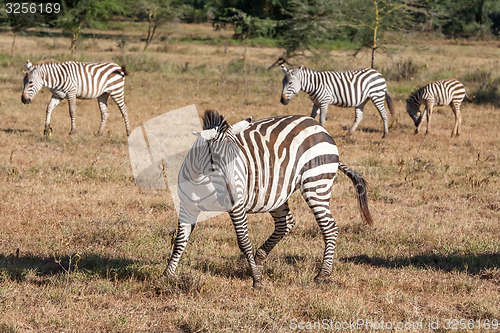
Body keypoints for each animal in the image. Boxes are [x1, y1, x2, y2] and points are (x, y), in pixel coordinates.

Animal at [164, 109, 372, 288]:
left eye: (238, 158)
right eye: (215, 160)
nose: (236, 192)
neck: (202, 179)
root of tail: (319, 126)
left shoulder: (237, 207)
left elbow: (243, 241)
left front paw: (256, 280)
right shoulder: (187, 206)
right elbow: (180, 241)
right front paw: (166, 275)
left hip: (316, 184)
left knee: (329, 227)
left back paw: (322, 274)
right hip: (276, 194)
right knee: (286, 223)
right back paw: (259, 259)